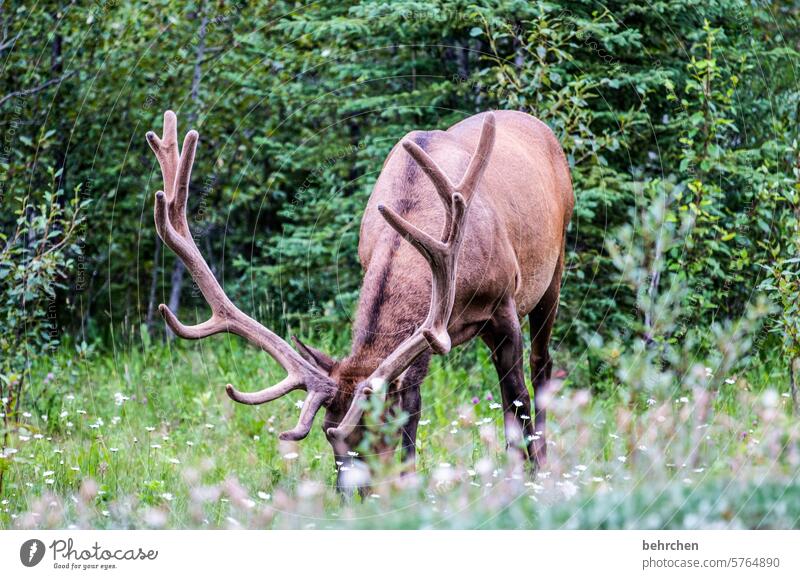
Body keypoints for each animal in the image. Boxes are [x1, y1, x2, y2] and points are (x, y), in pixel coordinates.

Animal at [148, 109, 576, 484]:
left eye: (374, 433)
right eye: (329, 435)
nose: (352, 493)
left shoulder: (502, 305)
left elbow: (516, 398)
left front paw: (528, 475)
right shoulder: (424, 340)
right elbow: (413, 405)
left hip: (553, 269)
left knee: (541, 365)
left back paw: (544, 457)